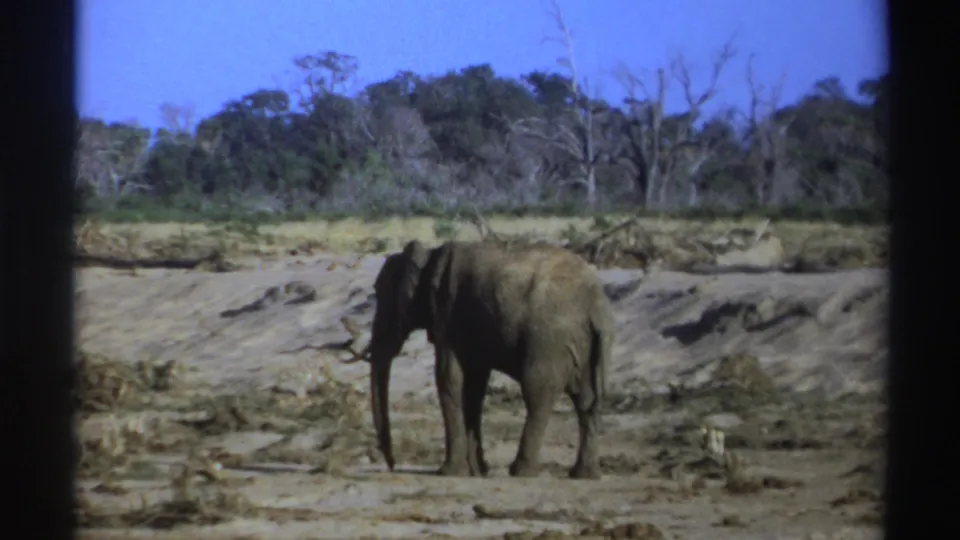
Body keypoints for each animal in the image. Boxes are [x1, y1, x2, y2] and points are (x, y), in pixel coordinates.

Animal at [348, 239, 615, 479]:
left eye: (381, 294)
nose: (392, 465)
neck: (429, 255)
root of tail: (596, 305)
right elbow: (473, 386)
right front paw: (477, 471)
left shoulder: (448, 314)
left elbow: (449, 380)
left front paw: (450, 472)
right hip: (584, 344)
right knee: (586, 400)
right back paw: (585, 475)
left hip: (549, 341)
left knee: (538, 394)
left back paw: (521, 471)